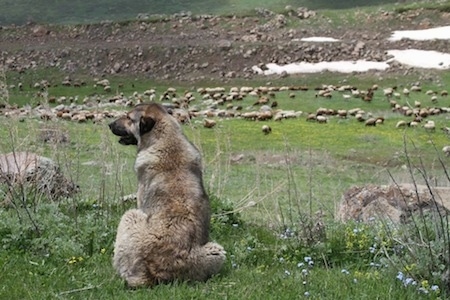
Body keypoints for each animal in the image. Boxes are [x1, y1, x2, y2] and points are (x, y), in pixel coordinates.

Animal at [109, 102, 225, 288]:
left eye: (128, 117)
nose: (109, 124)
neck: (166, 137)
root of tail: (155, 273)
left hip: (129, 216)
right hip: (215, 251)